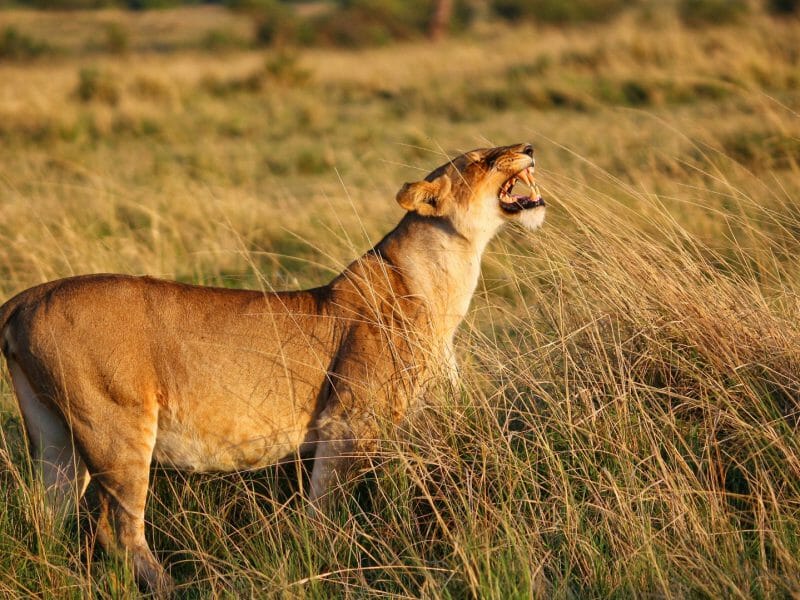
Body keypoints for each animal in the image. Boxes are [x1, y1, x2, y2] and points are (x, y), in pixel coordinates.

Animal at [0, 143, 545, 594]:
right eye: (482, 158)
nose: (529, 147)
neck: (443, 278)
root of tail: (23, 298)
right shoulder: (348, 422)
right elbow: (326, 509)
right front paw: (324, 563)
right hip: (116, 427)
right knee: (116, 529)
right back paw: (175, 587)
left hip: (53, 436)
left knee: (47, 518)